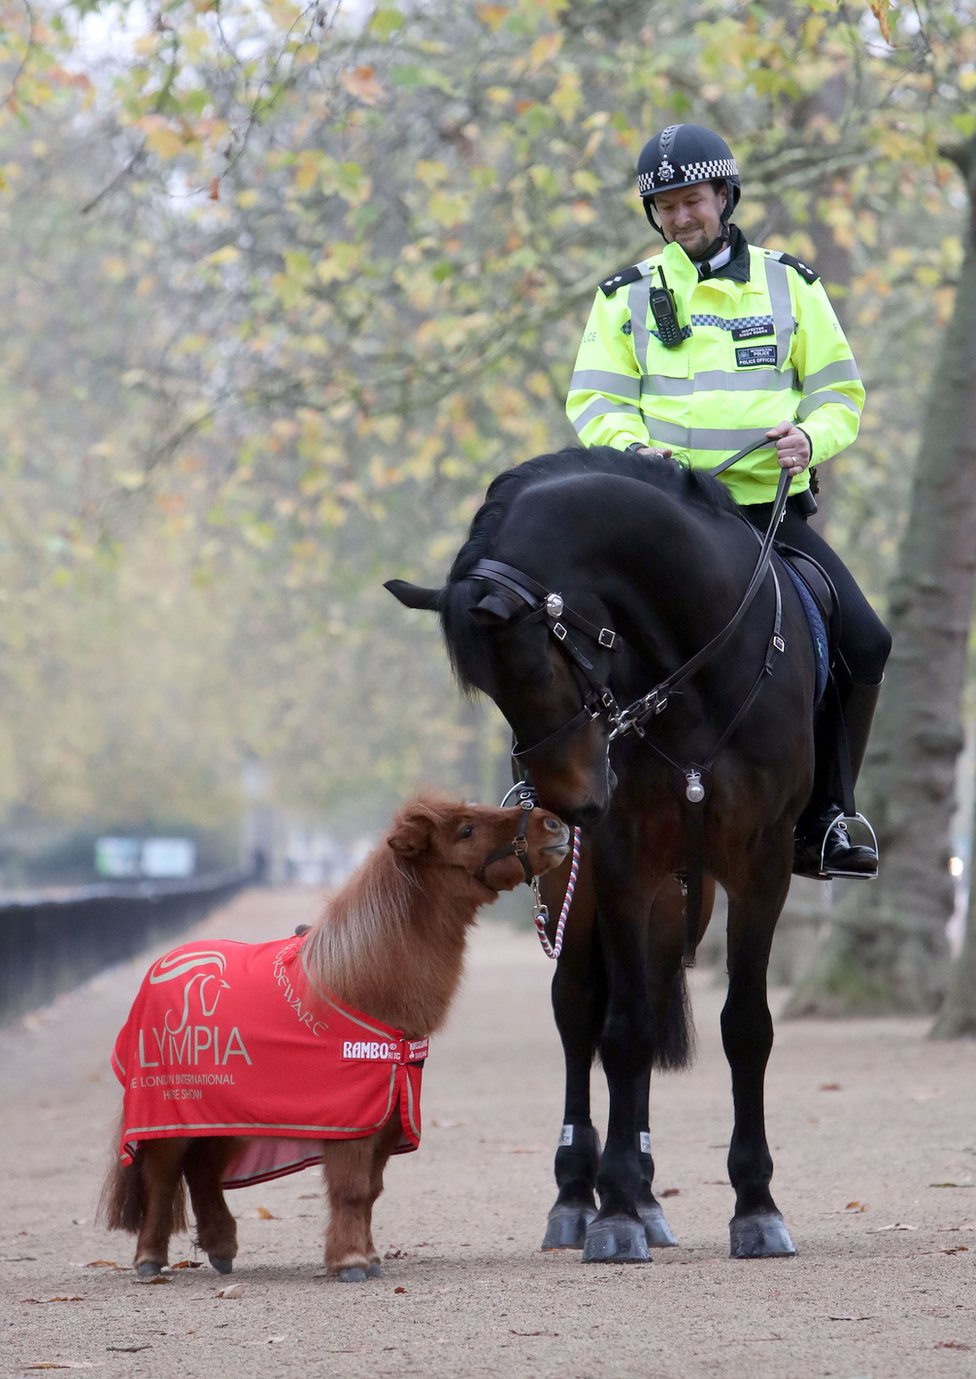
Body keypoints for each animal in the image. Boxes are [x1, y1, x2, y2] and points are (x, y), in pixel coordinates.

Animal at [99, 794, 567, 1285]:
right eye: (466, 831)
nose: (554, 825)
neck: (356, 982)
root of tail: (159, 970)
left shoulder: (385, 1115)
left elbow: (371, 1190)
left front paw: (369, 1256)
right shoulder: (351, 1120)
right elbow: (352, 1188)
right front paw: (351, 1261)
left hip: (228, 1113)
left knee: (203, 1169)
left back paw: (221, 1246)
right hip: (167, 1113)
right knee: (163, 1175)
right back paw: (149, 1259)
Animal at [385, 444, 821, 1263]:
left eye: (530, 668)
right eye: (489, 689)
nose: (572, 807)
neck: (699, 669)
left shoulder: (762, 865)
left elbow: (745, 1027)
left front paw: (754, 1204)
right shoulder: (621, 863)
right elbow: (622, 1031)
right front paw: (612, 1210)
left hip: (678, 896)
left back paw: (648, 1196)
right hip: (585, 891)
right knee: (582, 1008)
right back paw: (578, 1195)